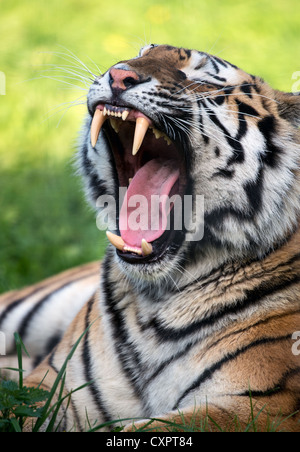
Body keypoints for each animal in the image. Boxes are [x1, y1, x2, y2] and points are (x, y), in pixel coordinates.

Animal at [0, 44, 300, 432]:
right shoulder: (57, 383)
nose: (118, 75)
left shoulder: (258, 407)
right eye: (140, 53)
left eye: (201, 77)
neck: (154, 303)